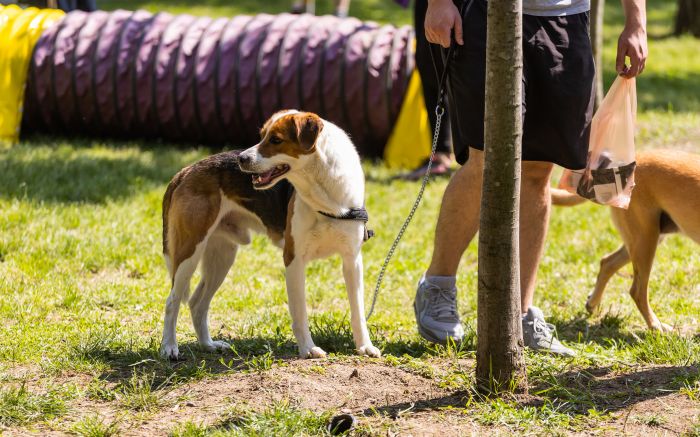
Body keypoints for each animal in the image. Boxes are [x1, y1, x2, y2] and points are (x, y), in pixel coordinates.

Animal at [161, 110, 380, 360]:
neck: (325, 194)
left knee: (198, 302)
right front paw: (308, 348)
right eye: (262, 136)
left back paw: (208, 345)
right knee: (172, 300)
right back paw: (169, 347)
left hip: (222, 256)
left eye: (275, 140)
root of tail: (186, 171)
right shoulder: (293, 259)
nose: (241, 159)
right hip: (190, 252)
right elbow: (300, 312)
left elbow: (358, 311)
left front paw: (364, 346)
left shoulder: (352, 261)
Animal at [552, 148, 700, 328]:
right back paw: (655, 325)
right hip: (645, 239)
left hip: (641, 239)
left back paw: (592, 303)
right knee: (636, 291)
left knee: (607, 263)